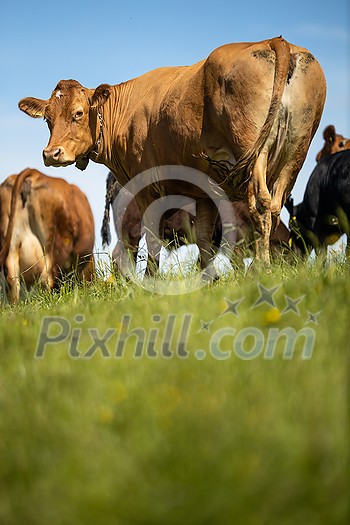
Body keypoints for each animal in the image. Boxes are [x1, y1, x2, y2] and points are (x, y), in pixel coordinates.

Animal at [18, 36, 326, 276]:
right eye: (47, 118)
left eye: (78, 113)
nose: (51, 153)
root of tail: (275, 41)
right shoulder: (204, 190)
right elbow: (203, 238)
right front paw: (209, 279)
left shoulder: (148, 188)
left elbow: (155, 237)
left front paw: (151, 280)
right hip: (295, 154)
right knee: (272, 207)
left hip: (253, 150)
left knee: (260, 205)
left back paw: (262, 269)